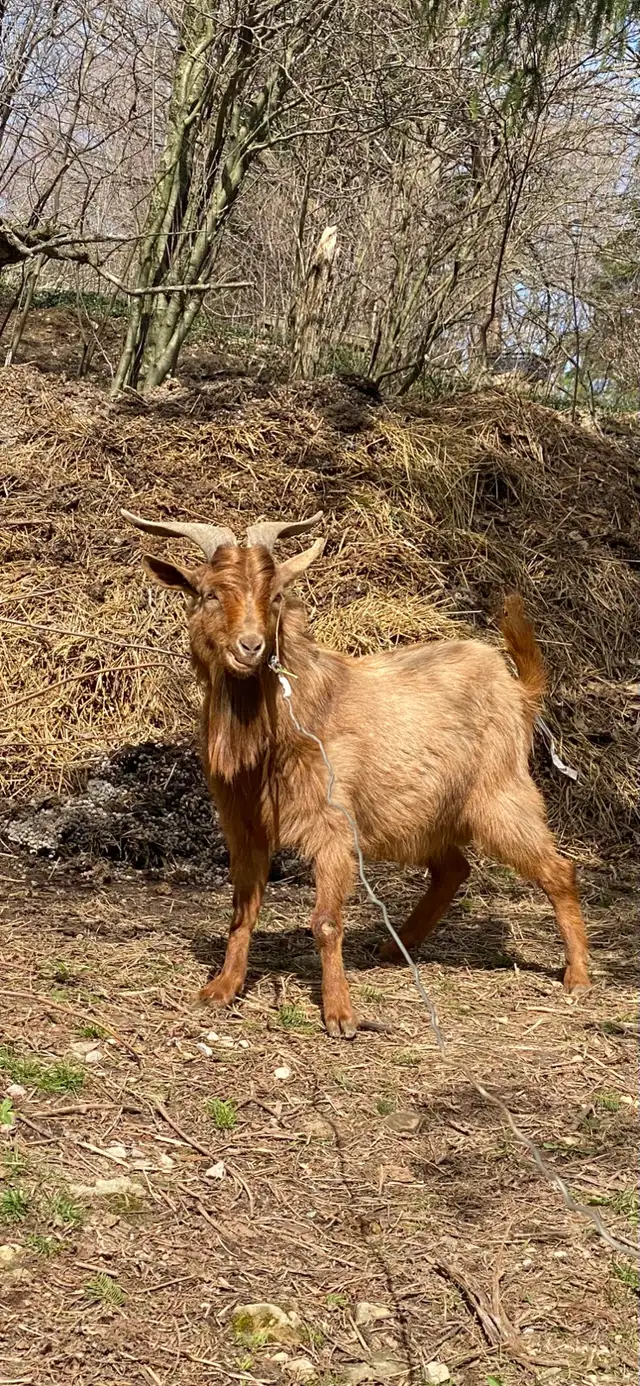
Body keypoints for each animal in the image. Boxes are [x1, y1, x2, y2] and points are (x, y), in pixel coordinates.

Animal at [122, 507, 590, 1038]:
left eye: (275, 595)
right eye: (209, 593)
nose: (251, 646)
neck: (291, 711)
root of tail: (519, 692)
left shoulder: (333, 825)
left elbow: (326, 921)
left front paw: (340, 1014)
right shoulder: (243, 824)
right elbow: (243, 911)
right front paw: (221, 989)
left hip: (499, 796)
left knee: (557, 870)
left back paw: (577, 976)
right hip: (422, 816)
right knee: (454, 869)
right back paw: (395, 947)